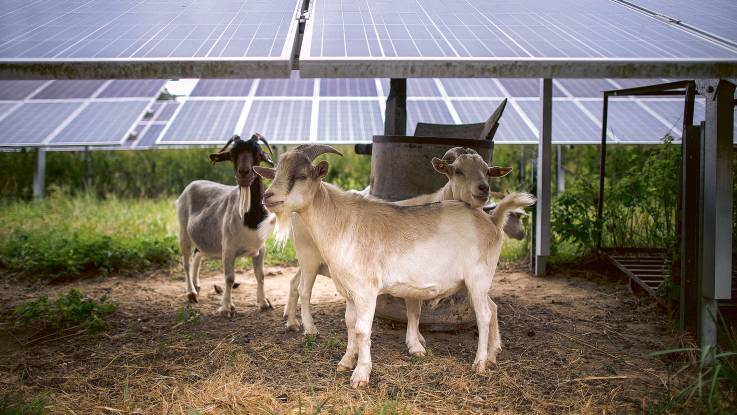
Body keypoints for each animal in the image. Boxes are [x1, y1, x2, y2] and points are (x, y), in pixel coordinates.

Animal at [177, 135, 274, 316]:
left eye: (258, 152)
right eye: (232, 154)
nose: (244, 173)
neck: (250, 220)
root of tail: (192, 184)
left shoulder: (261, 248)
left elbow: (261, 275)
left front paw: (264, 303)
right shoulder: (228, 248)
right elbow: (229, 278)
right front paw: (226, 307)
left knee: (198, 252)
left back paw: (197, 284)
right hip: (182, 227)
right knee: (186, 260)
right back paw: (191, 292)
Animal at [256, 145, 532, 390]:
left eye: (301, 176)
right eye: (276, 173)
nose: (267, 197)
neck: (342, 222)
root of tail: (492, 221)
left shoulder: (366, 291)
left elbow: (362, 330)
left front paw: (361, 375)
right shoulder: (349, 292)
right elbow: (349, 324)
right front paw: (345, 362)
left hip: (478, 278)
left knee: (484, 315)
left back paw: (480, 363)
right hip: (476, 283)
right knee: (492, 309)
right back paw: (492, 356)